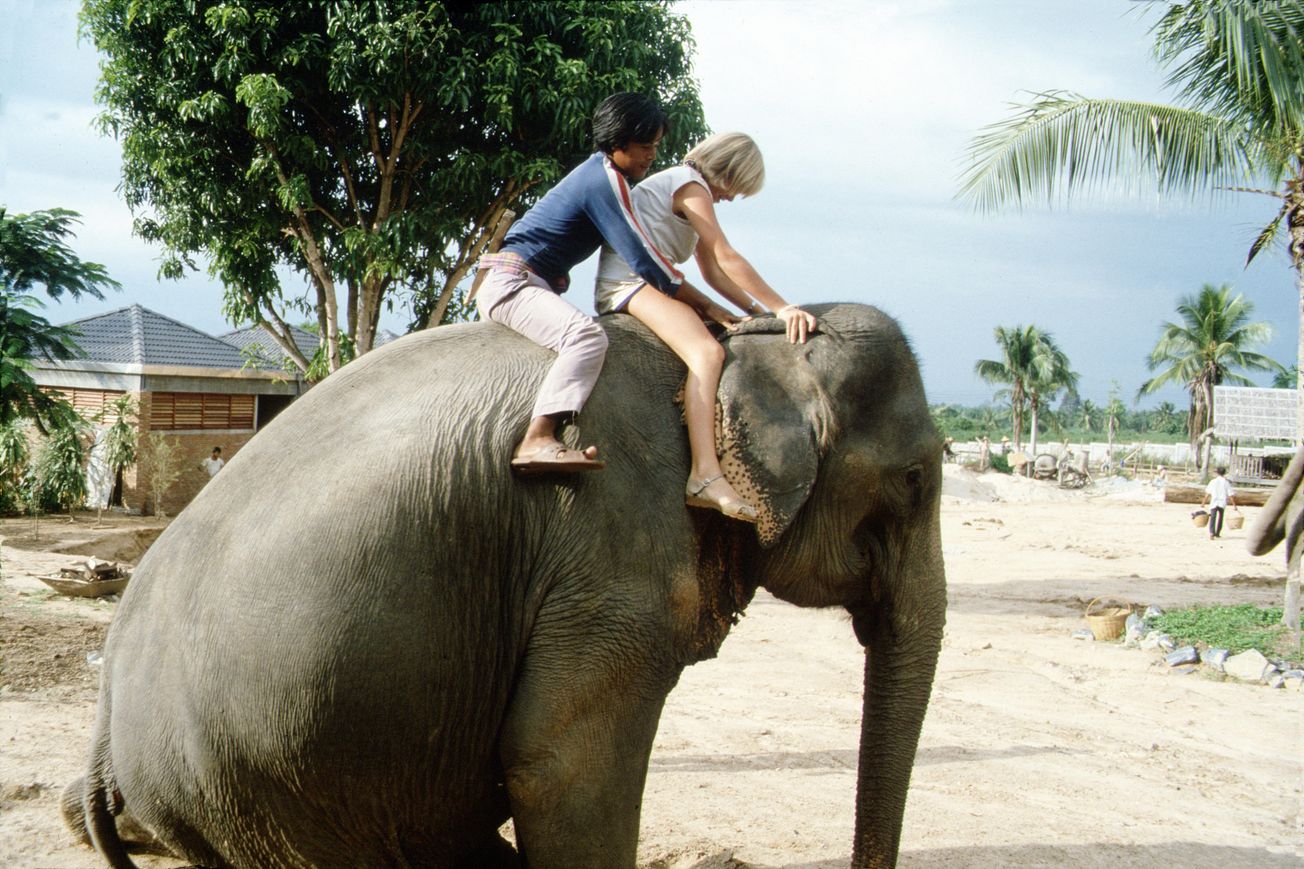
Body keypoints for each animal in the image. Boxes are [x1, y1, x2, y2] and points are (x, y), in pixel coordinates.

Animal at [62, 301, 946, 868]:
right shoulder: (610, 545)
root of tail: (104, 717)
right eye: (916, 479)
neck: (724, 353)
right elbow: (562, 765)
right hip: (257, 783)